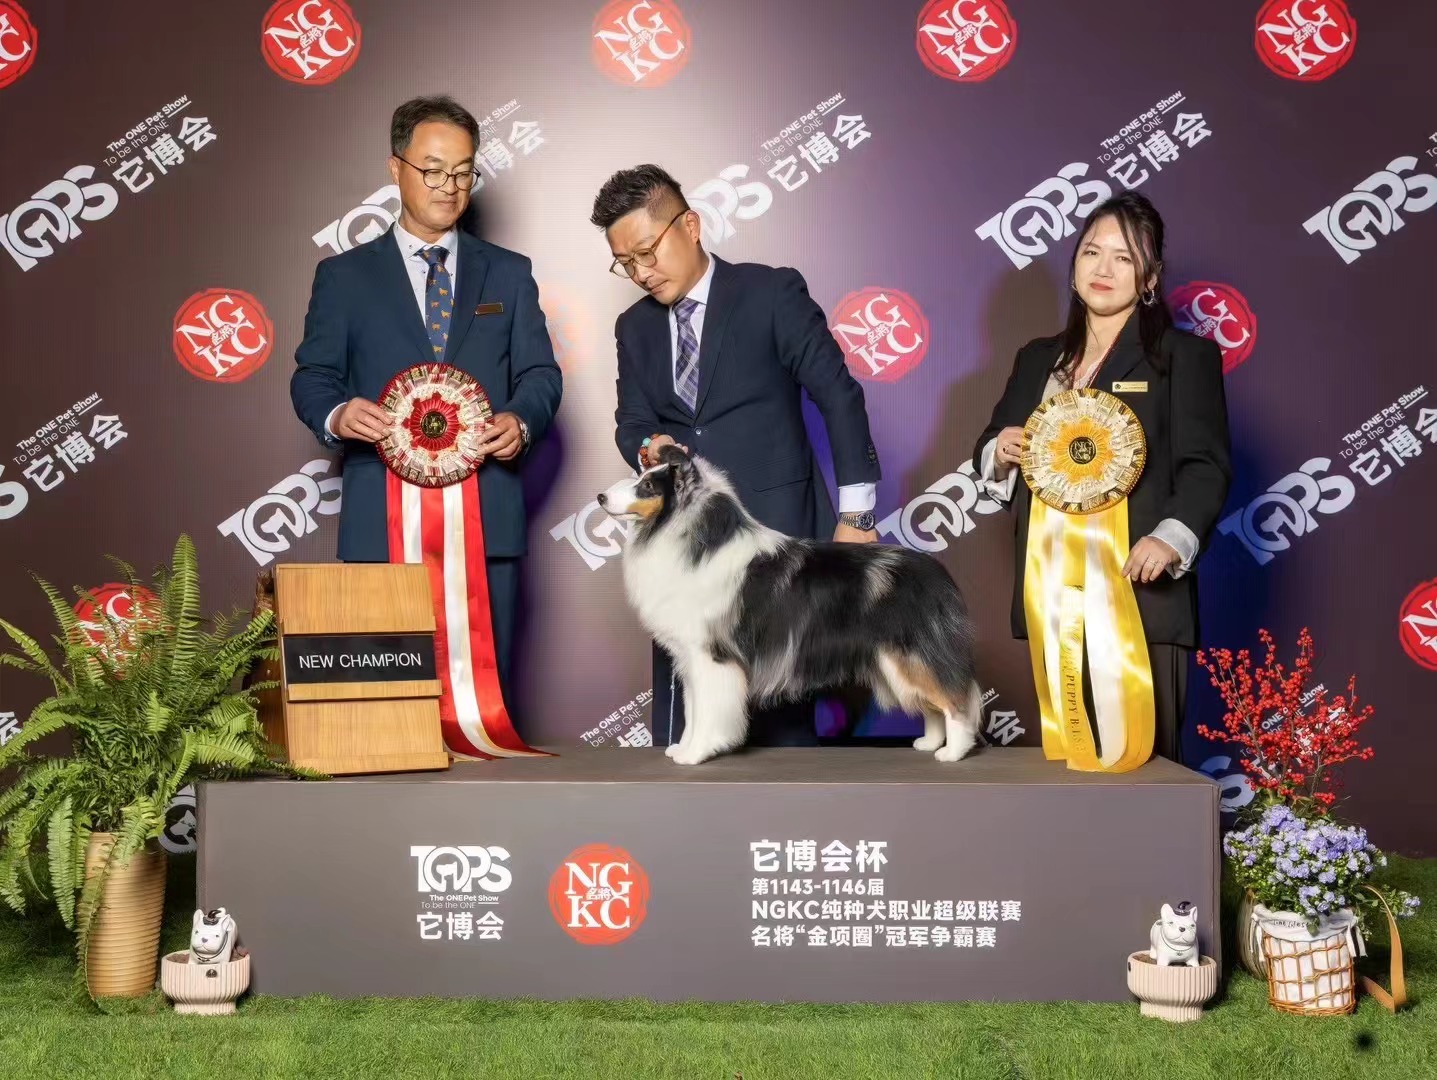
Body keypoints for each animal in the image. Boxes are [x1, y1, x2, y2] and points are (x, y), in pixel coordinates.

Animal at [598, 444, 982, 765]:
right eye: (642, 476)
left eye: (648, 485)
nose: (600, 496)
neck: (691, 540)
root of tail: (936, 572)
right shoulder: (690, 657)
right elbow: (693, 710)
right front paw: (684, 748)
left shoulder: (712, 654)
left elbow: (707, 710)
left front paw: (697, 754)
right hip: (896, 660)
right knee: (931, 702)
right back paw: (930, 743)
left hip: (910, 652)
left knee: (954, 699)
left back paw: (953, 752)